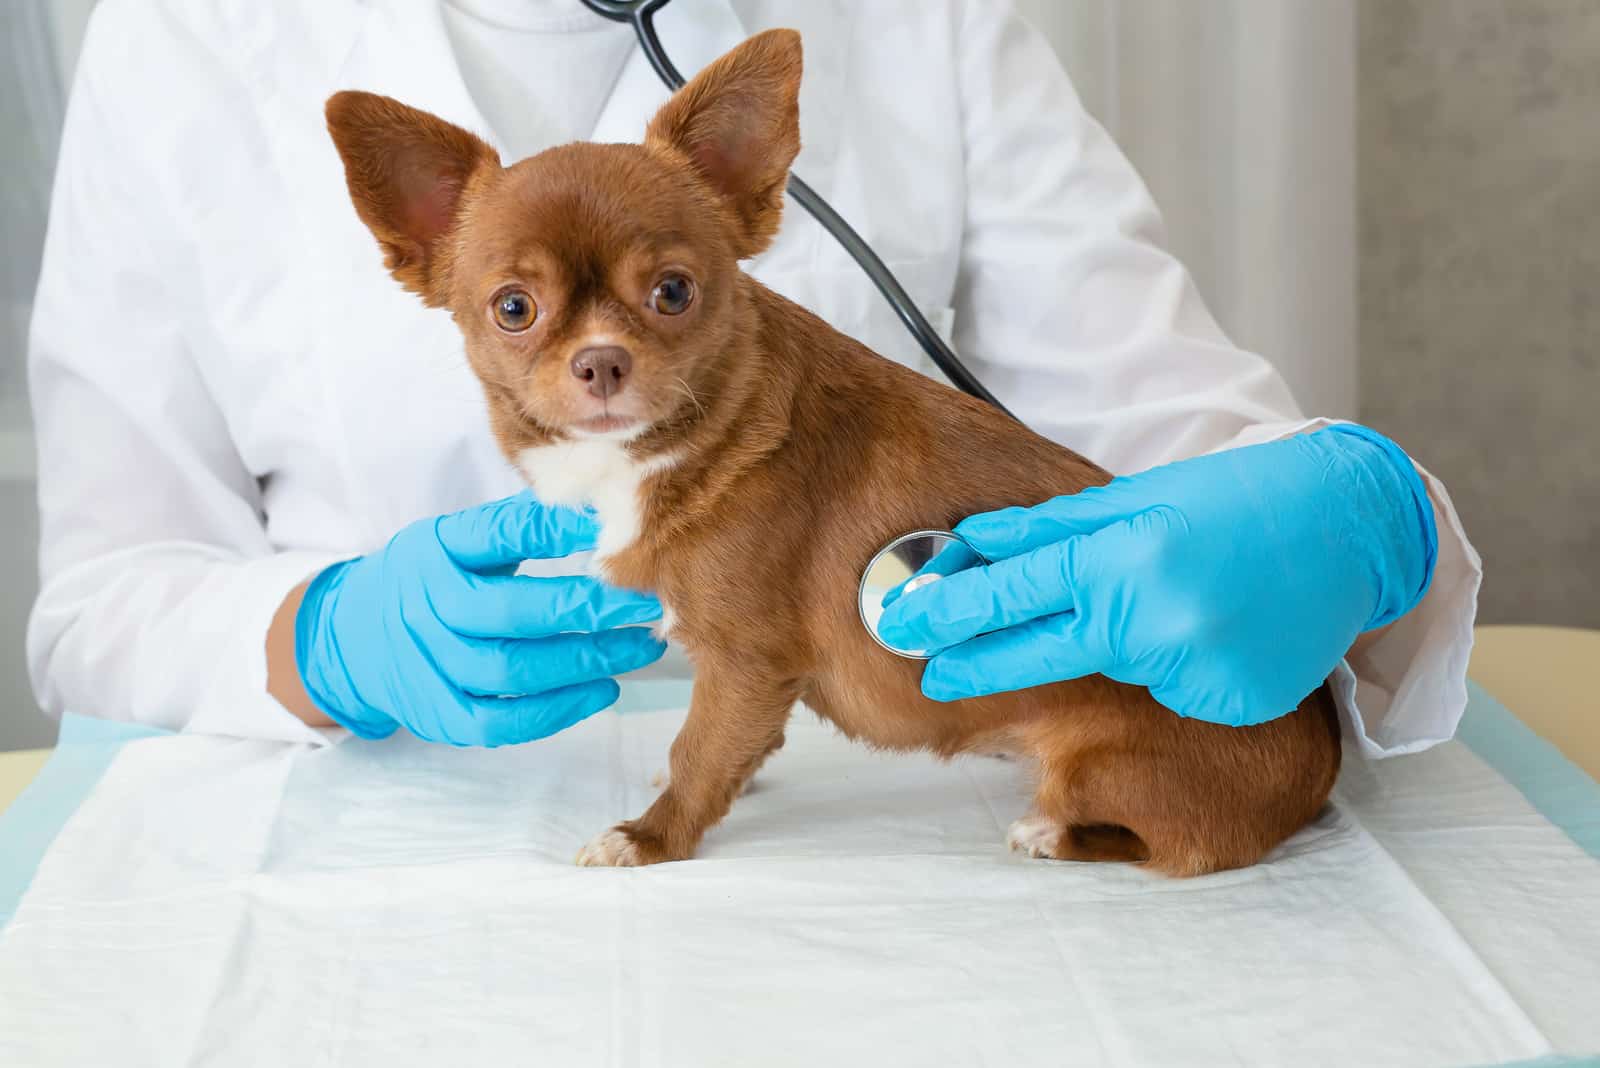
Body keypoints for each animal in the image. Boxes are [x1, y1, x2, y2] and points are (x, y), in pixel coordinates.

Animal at [331, 31, 1344, 876]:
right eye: (514, 308)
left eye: (673, 292)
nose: (602, 359)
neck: (690, 444)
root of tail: (1324, 747)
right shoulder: (745, 678)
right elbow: (730, 744)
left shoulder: (744, 659)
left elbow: (696, 750)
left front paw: (651, 835)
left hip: (1111, 768)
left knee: (1173, 847)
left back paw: (1048, 832)